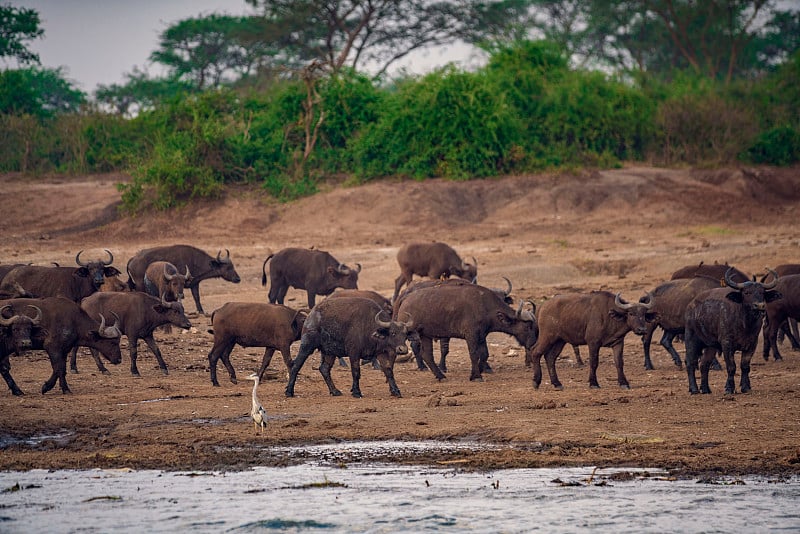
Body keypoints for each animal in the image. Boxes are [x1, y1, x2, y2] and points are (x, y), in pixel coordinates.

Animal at [284, 300, 412, 400]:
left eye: (405, 335)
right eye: (393, 333)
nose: (403, 349)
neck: (368, 327)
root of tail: (311, 314)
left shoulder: (380, 353)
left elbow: (388, 370)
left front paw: (395, 391)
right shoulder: (354, 353)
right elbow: (355, 371)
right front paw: (356, 392)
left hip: (329, 352)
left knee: (324, 368)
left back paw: (335, 391)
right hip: (307, 345)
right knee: (296, 365)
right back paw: (289, 391)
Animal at [394, 282, 536, 384]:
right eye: (528, 326)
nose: (533, 343)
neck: (485, 306)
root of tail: (406, 298)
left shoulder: (481, 336)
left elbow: (484, 354)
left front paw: (478, 371)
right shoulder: (471, 335)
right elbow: (474, 354)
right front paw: (477, 376)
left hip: (425, 335)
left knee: (427, 355)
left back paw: (440, 376)